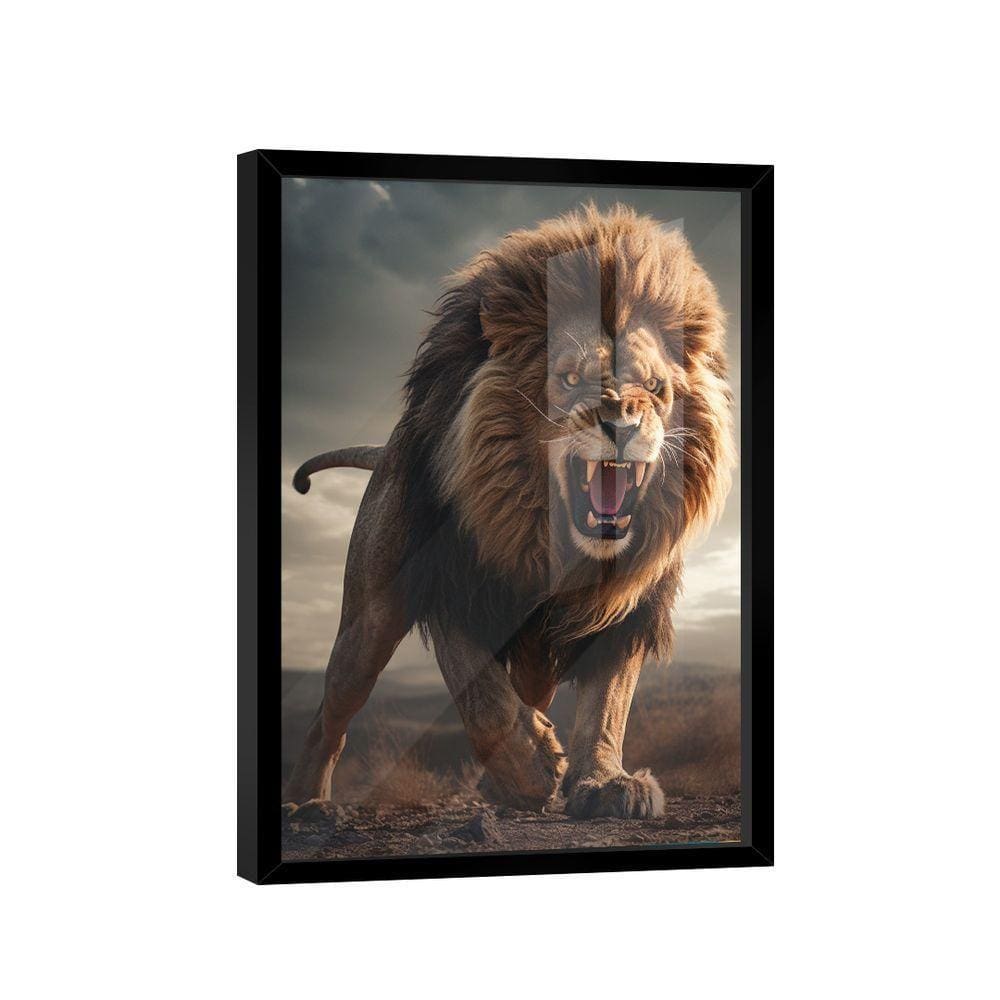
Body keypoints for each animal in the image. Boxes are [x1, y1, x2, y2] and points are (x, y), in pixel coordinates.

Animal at [283, 204, 735, 819]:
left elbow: (608, 704)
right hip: (368, 620)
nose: (621, 422)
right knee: (332, 712)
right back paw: (306, 802)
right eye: (569, 378)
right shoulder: (448, 577)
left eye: (653, 386)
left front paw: (606, 782)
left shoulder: (628, 606)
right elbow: (483, 696)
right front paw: (530, 768)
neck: (548, 541)